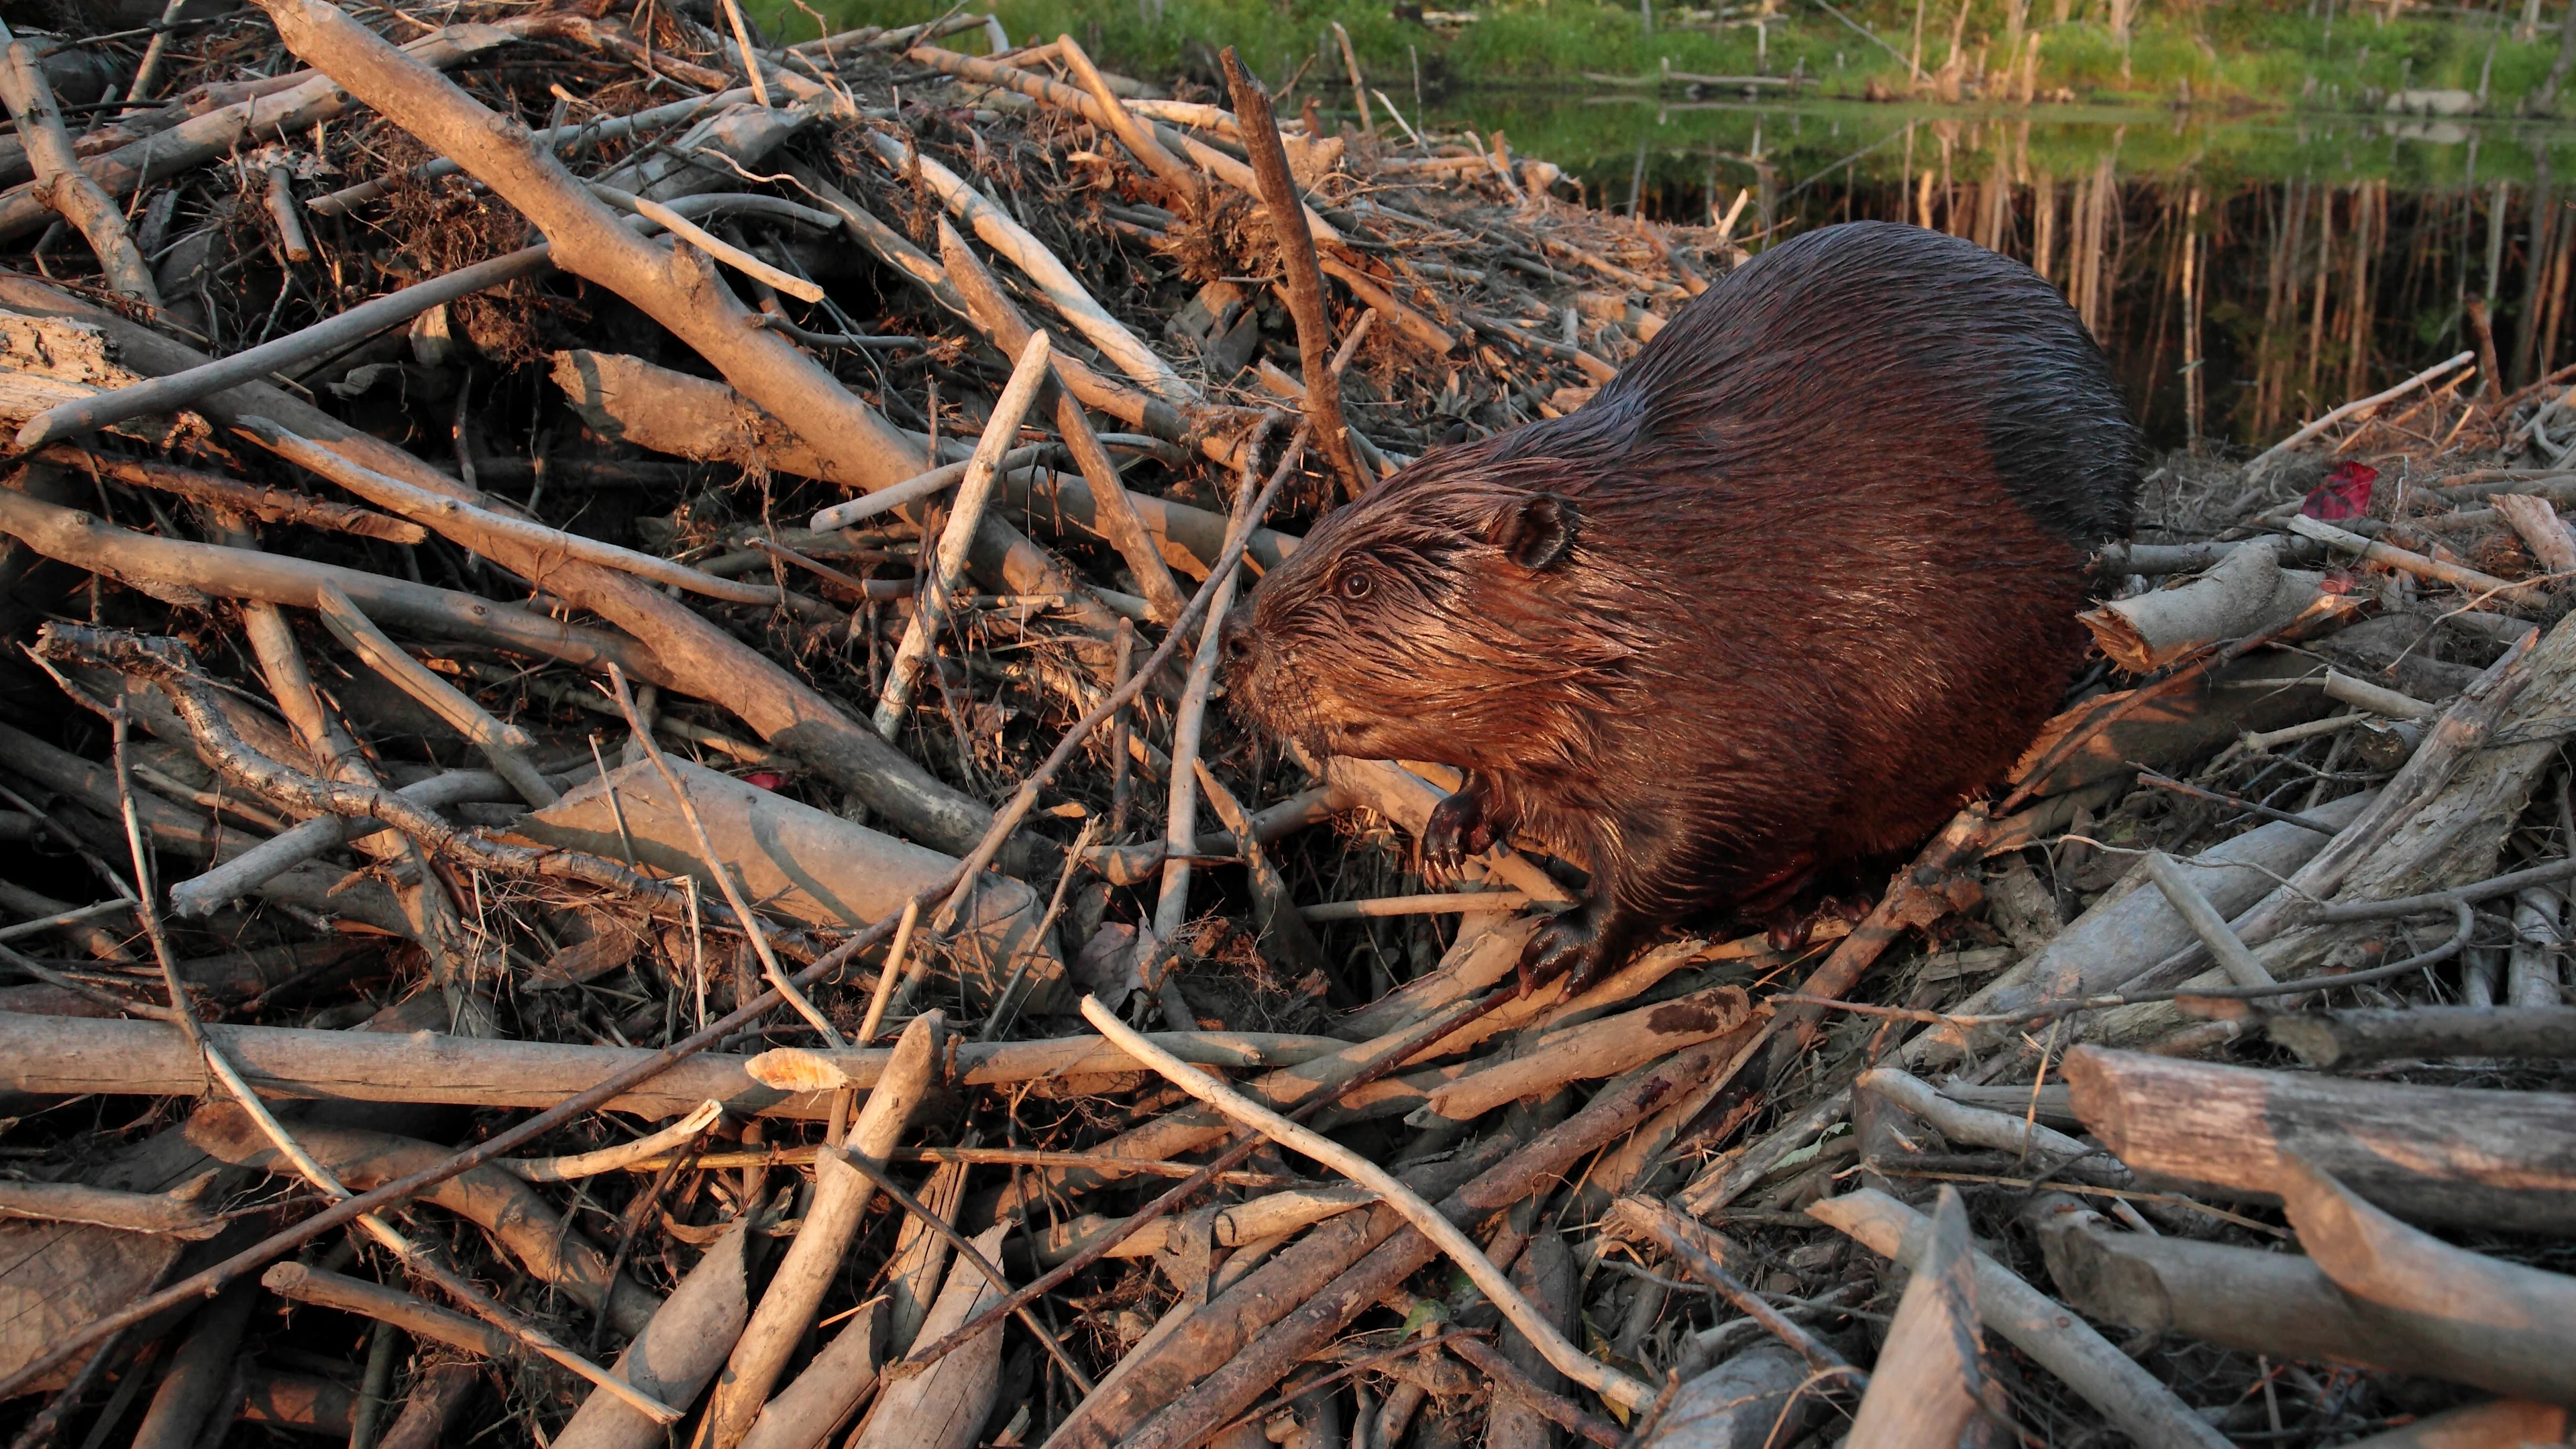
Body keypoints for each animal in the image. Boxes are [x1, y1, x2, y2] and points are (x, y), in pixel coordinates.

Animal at [1216, 220, 2143, 985]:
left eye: (1358, 583)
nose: (1235, 640)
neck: (1638, 590)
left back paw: (1811, 910)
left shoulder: (1729, 717)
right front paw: (1448, 834)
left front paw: (1562, 945)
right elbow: (1500, 776)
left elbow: (1684, 847)